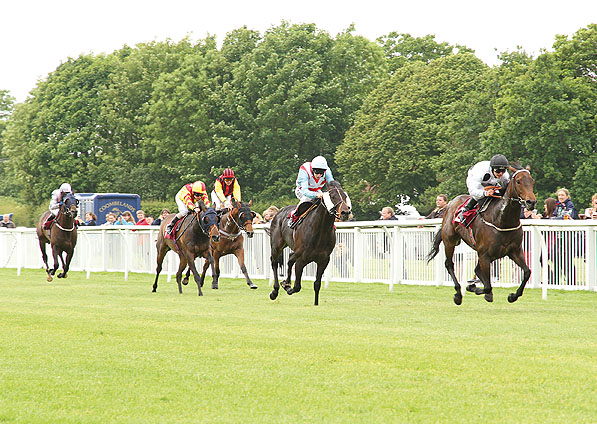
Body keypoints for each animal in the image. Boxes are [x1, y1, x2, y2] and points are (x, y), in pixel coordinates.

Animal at [426, 163, 536, 304]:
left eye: (532, 181)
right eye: (518, 181)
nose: (531, 202)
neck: (502, 220)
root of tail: (450, 204)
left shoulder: (514, 251)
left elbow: (527, 272)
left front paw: (513, 296)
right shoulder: (484, 254)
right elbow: (488, 287)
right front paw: (473, 288)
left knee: (476, 270)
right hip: (450, 242)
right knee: (449, 264)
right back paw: (458, 294)